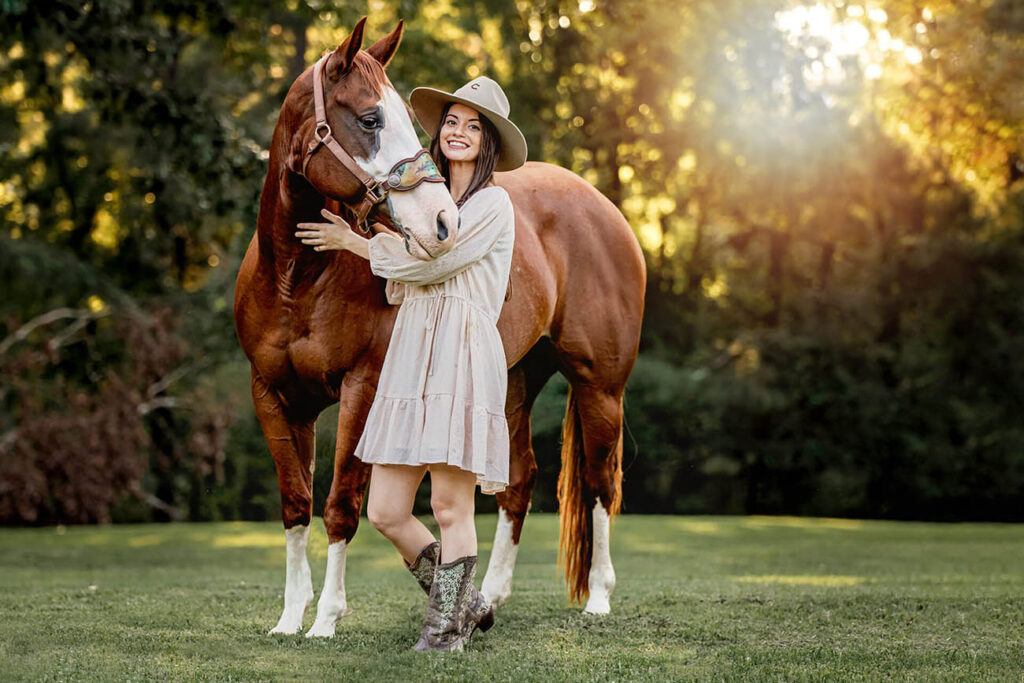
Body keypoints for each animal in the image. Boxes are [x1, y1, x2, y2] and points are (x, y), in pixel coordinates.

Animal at [235, 17, 643, 634]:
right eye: (371, 119)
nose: (443, 221)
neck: (296, 280)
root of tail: (607, 211)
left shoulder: (363, 389)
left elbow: (340, 506)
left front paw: (326, 619)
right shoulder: (274, 398)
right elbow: (295, 504)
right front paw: (288, 619)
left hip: (600, 388)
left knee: (600, 484)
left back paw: (598, 597)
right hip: (515, 382)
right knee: (518, 482)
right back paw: (488, 598)